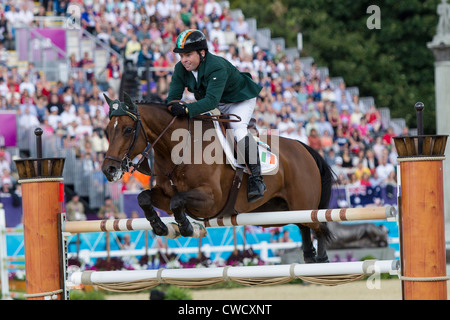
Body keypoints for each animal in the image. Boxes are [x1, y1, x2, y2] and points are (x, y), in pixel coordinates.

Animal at [102, 92, 334, 262]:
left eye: (128, 129)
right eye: (106, 131)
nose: (109, 170)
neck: (180, 148)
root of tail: (304, 148)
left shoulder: (211, 200)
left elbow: (178, 201)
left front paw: (187, 228)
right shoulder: (166, 197)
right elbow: (145, 197)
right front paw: (161, 227)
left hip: (303, 206)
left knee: (319, 226)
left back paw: (322, 260)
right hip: (284, 211)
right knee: (305, 229)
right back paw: (311, 259)